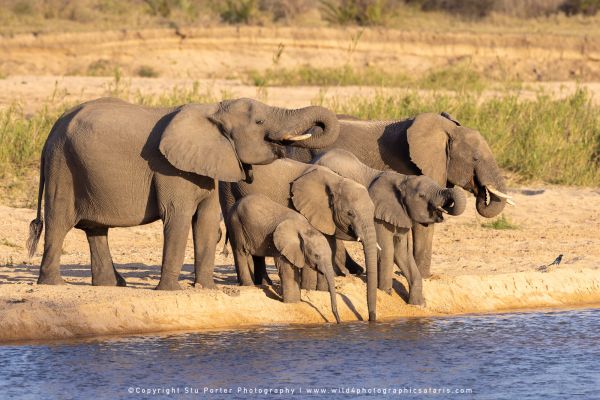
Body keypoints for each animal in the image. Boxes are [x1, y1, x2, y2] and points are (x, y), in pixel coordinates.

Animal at [28, 97, 340, 290]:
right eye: (260, 123)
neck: (213, 110)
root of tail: (52, 130)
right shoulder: (169, 167)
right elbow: (177, 219)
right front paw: (170, 290)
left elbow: (206, 222)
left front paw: (206, 288)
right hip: (62, 166)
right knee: (59, 222)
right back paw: (54, 285)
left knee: (96, 230)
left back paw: (110, 285)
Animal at [226, 192, 340, 324]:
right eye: (317, 256)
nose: (338, 321)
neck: (305, 228)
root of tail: (235, 204)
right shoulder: (283, 245)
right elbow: (288, 270)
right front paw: (292, 302)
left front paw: (295, 301)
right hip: (236, 224)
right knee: (241, 251)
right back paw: (249, 285)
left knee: (254, 255)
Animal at [288, 111, 512, 276]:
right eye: (475, 158)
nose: (482, 193)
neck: (447, 130)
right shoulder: (411, 168)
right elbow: (423, 221)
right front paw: (423, 276)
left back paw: (353, 270)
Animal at [312, 148, 466, 304]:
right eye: (422, 196)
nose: (446, 207)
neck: (402, 179)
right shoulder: (378, 217)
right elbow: (387, 250)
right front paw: (386, 293)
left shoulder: (400, 214)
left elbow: (401, 252)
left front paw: (418, 304)